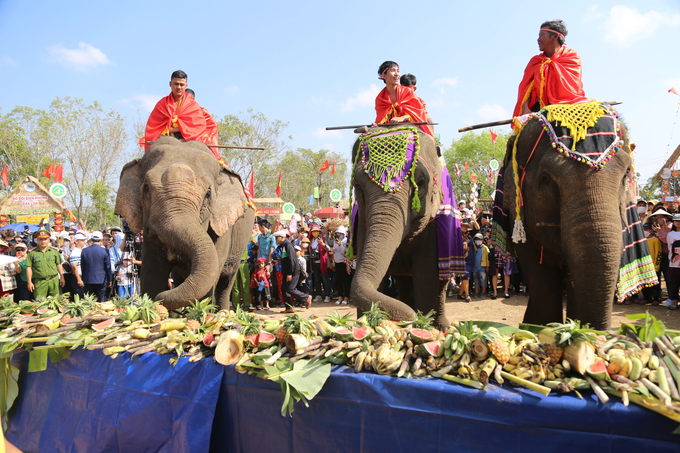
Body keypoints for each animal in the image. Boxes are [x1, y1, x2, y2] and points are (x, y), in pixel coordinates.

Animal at [114, 136, 255, 308]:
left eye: (208, 194)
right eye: (146, 188)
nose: (161, 298)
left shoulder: (222, 228)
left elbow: (211, 278)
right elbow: (152, 275)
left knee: (225, 283)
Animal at [348, 126, 464, 328]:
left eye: (422, 181)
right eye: (358, 186)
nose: (412, 317)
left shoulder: (432, 224)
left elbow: (426, 274)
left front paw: (425, 326)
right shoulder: (362, 221)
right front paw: (364, 325)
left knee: (441, 281)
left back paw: (442, 326)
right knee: (404, 281)